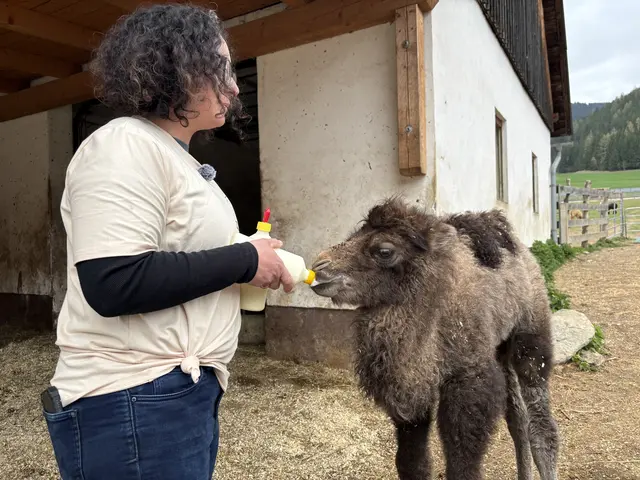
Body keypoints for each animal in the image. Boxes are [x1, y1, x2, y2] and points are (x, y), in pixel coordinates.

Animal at [310, 197, 559, 480]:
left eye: (384, 251)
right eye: (353, 235)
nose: (320, 266)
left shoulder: (469, 379)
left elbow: (463, 465)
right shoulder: (411, 389)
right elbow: (411, 462)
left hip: (532, 334)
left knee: (541, 426)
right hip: (499, 346)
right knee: (517, 420)